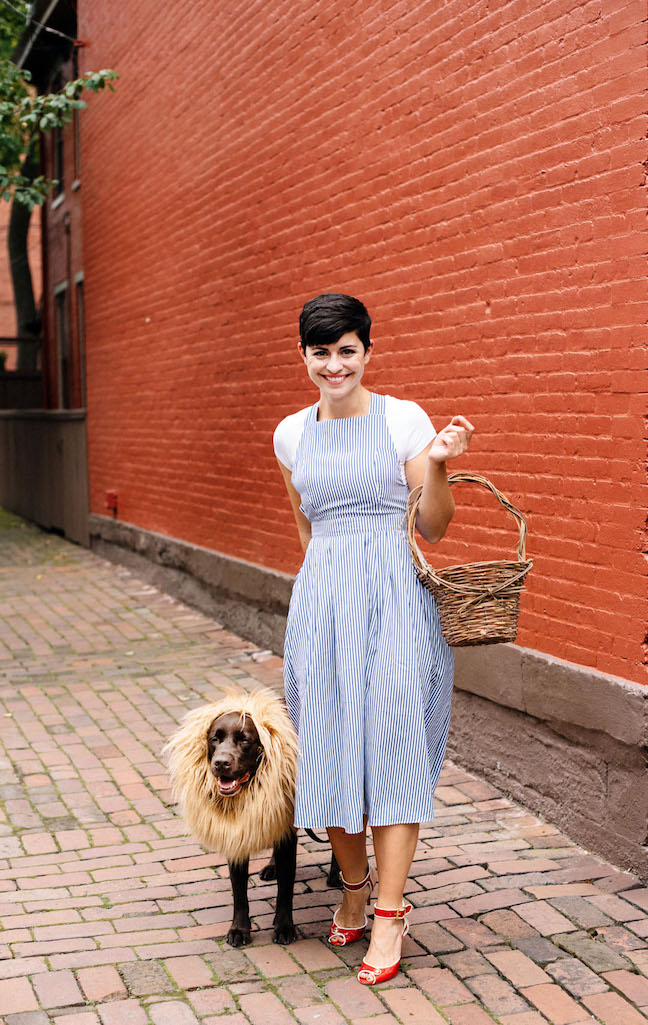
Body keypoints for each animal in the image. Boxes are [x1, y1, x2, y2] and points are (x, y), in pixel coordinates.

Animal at [166, 684, 338, 947]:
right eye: (214, 738)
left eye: (245, 739)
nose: (221, 763)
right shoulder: (237, 830)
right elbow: (239, 891)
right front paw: (239, 929)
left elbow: (285, 888)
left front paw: (284, 927)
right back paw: (271, 867)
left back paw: (336, 876)